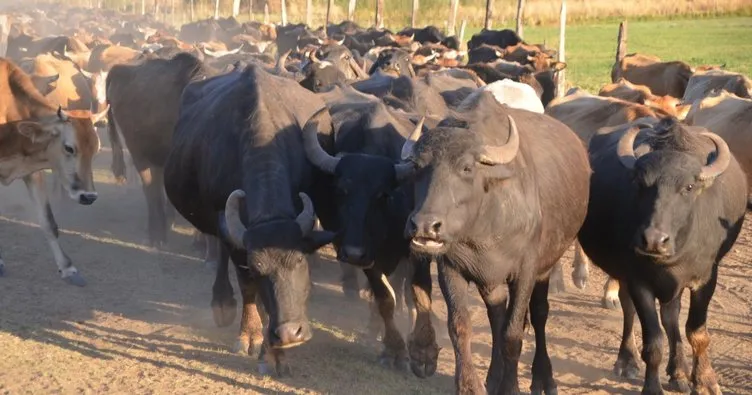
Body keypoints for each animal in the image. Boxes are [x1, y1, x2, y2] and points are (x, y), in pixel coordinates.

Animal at [0, 58, 101, 284]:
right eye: (69, 148)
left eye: (96, 149)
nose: (89, 196)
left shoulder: (31, 172)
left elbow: (48, 222)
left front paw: (68, 268)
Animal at [576, 118, 748, 395]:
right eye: (641, 184)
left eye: (688, 187)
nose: (653, 240)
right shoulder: (638, 281)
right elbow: (653, 340)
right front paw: (652, 386)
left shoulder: (705, 279)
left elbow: (696, 332)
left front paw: (704, 380)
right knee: (629, 309)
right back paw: (627, 360)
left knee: (670, 317)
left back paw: (678, 372)